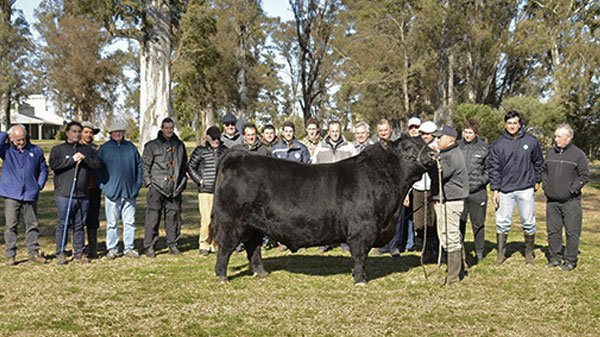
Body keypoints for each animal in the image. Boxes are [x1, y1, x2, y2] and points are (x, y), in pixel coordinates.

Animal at [211, 134, 436, 284]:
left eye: (425, 143)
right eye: (407, 148)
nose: (433, 153)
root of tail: (238, 155)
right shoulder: (362, 229)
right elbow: (360, 256)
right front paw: (360, 280)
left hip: (255, 225)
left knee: (253, 248)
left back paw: (262, 273)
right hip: (231, 222)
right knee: (225, 247)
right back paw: (222, 277)